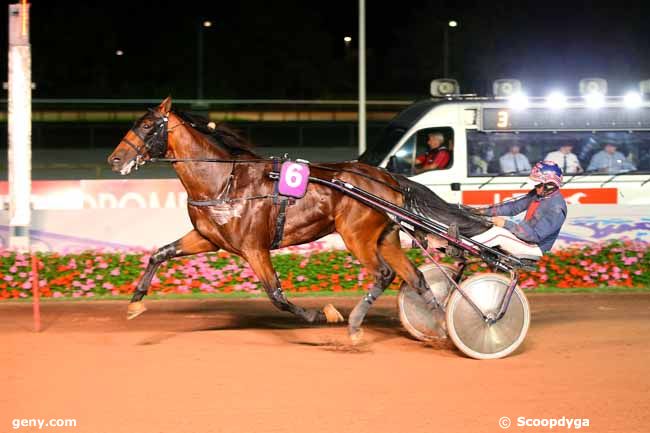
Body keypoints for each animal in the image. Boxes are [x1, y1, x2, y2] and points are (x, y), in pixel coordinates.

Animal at [107, 96, 492, 342]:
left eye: (147, 126)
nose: (114, 160)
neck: (224, 181)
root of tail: (387, 177)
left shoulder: (254, 248)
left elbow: (276, 295)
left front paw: (324, 315)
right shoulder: (208, 239)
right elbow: (159, 253)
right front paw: (135, 303)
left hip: (356, 235)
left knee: (383, 274)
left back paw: (356, 324)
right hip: (384, 237)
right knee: (416, 279)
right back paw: (438, 325)